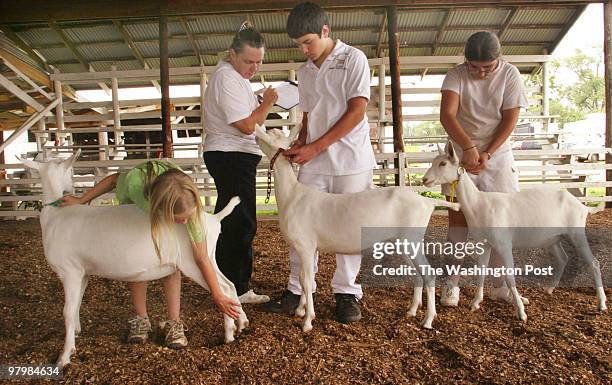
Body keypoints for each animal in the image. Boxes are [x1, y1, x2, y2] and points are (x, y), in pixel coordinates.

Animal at [20, 150, 249, 366]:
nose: (70, 191)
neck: (55, 216)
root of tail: (214, 219)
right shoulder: (83, 272)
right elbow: (76, 305)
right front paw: (76, 334)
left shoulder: (70, 271)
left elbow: (67, 311)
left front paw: (64, 356)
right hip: (207, 257)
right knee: (229, 284)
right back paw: (240, 324)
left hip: (194, 262)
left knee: (223, 288)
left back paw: (228, 335)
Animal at [253, 125, 460, 330]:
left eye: (269, 135)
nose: (256, 134)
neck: (292, 195)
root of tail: (427, 201)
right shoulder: (309, 248)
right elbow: (307, 278)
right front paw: (300, 310)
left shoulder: (305, 245)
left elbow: (306, 279)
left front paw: (307, 321)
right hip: (403, 242)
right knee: (417, 274)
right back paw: (412, 310)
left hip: (412, 239)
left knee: (429, 274)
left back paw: (428, 319)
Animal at [424, 142, 608, 320]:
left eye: (443, 163)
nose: (425, 179)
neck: (480, 205)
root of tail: (583, 206)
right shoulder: (484, 243)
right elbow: (482, 271)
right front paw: (475, 303)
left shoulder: (504, 244)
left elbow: (509, 276)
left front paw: (521, 311)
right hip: (552, 238)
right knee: (563, 258)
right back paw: (550, 289)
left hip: (576, 232)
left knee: (593, 263)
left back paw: (601, 303)